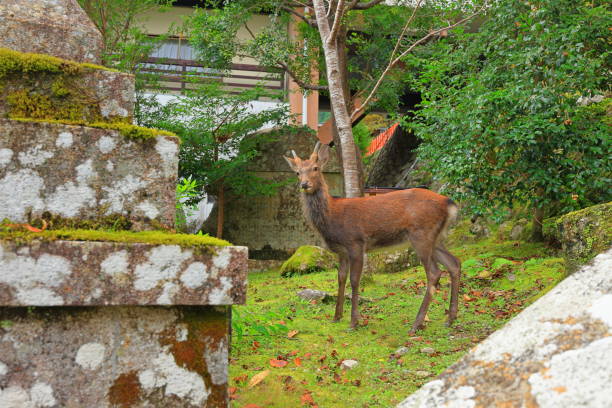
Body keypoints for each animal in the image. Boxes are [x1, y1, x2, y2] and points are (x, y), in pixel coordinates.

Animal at [284, 142, 462, 334]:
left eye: (315, 168)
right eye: (297, 172)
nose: (304, 184)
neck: (332, 216)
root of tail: (449, 204)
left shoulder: (355, 242)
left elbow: (354, 280)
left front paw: (354, 322)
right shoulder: (341, 251)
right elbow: (340, 278)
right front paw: (336, 316)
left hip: (421, 234)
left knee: (434, 273)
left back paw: (416, 324)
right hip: (435, 238)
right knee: (454, 263)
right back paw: (450, 318)